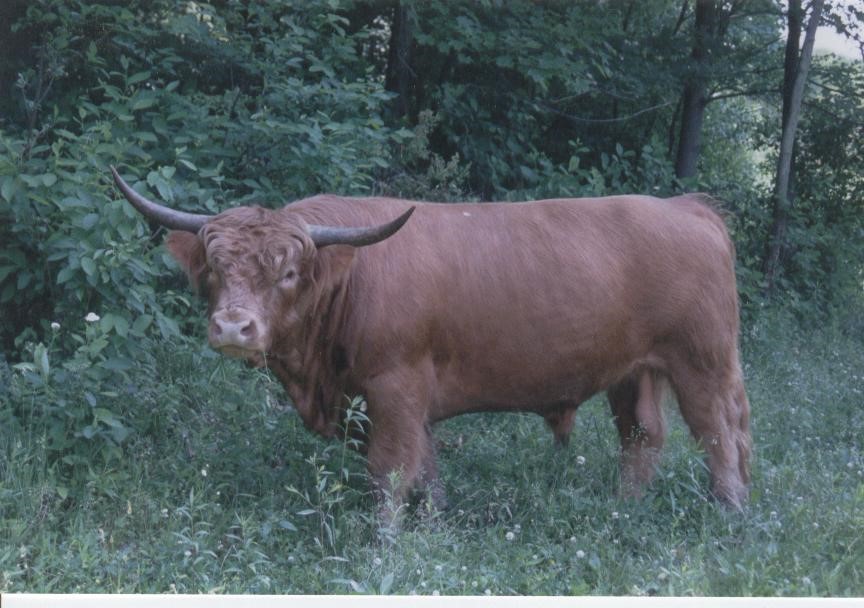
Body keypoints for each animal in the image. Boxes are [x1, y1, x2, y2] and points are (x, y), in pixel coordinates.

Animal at [110, 166, 751, 517]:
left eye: (288, 273)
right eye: (217, 268)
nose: (232, 327)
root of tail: (687, 207)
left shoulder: (395, 386)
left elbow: (391, 469)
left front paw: (385, 545)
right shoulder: (392, 398)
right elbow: (426, 468)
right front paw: (436, 523)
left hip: (702, 361)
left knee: (719, 436)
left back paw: (729, 514)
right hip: (631, 370)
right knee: (643, 436)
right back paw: (623, 510)